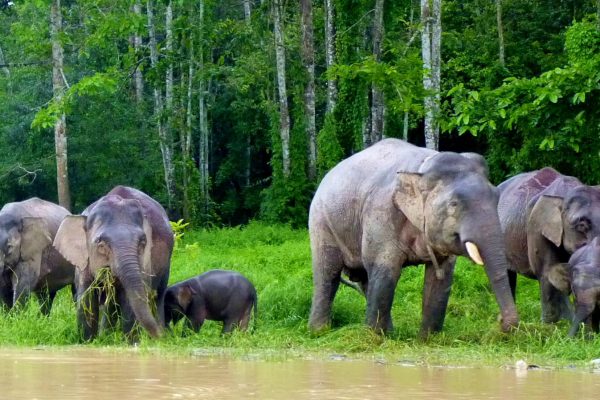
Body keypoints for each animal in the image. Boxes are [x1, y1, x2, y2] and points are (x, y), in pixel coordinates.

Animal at [53, 186, 173, 340]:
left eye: (143, 241)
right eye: (100, 243)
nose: (158, 336)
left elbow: (129, 302)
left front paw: (132, 342)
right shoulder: (83, 262)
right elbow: (86, 299)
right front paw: (88, 341)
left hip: (166, 264)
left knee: (158, 295)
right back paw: (106, 336)